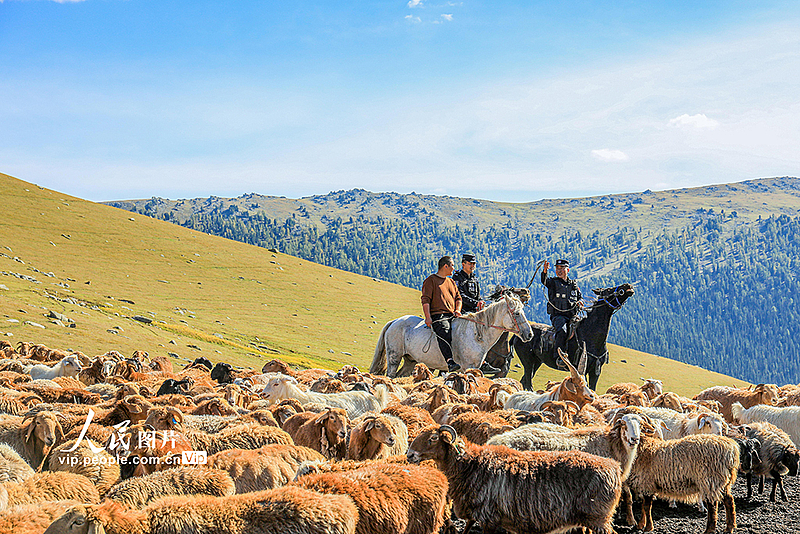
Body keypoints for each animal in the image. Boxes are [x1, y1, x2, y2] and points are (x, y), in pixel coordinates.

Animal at [372, 296, 536, 378]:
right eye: (517, 313)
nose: (529, 334)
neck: (476, 334)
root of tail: (394, 322)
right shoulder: (467, 367)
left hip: (410, 361)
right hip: (394, 357)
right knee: (391, 374)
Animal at [410, 428, 620, 534]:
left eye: (433, 438)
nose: (410, 454)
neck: (470, 464)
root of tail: (614, 467)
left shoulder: (489, 518)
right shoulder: (474, 515)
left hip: (598, 518)